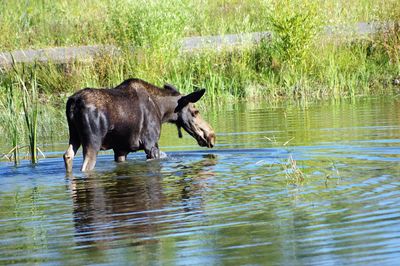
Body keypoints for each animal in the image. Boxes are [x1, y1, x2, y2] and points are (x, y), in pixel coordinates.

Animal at [63, 78, 216, 171]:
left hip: (74, 135)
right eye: (195, 112)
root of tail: (73, 103)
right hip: (93, 143)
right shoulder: (151, 144)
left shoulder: (121, 149)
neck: (162, 111)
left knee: (67, 155)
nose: (212, 135)